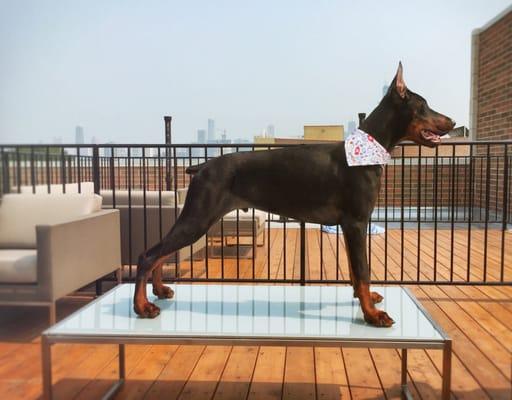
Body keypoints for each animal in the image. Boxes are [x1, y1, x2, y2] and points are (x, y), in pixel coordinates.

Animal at [134, 61, 454, 324]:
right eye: (424, 104)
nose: (452, 121)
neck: (367, 150)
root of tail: (202, 166)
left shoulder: (350, 226)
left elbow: (355, 270)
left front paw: (365, 300)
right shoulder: (356, 222)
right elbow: (362, 270)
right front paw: (372, 315)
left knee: (161, 254)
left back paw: (159, 290)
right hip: (198, 218)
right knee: (149, 255)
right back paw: (142, 307)